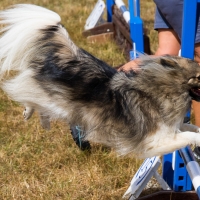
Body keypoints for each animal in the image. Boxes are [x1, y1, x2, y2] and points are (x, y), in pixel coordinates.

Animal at [0, 3, 200, 159]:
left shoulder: (172, 128)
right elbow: (188, 136)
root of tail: (69, 56)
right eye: (198, 77)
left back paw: (42, 121)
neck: (166, 86)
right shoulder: (156, 140)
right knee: (28, 92)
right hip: (52, 99)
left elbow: (189, 127)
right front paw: (197, 140)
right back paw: (30, 113)